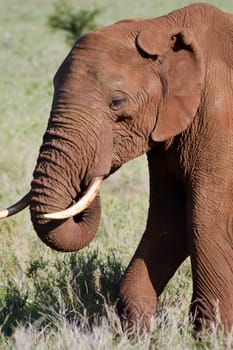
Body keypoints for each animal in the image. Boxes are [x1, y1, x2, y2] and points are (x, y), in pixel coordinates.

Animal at [0, 2, 232, 334]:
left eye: (117, 102)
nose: (88, 175)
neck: (161, 27)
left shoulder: (219, 120)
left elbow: (205, 221)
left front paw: (211, 336)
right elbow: (169, 220)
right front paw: (137, 334)